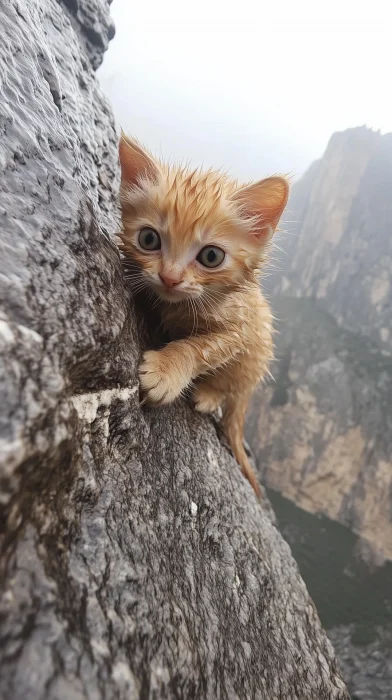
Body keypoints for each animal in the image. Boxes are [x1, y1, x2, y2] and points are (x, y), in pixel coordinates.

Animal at [118, 135, 288, 498]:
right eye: (149, 239)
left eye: (211, 256)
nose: (169, 277)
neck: (185, 304)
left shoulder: (240, 331)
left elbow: (200, 348)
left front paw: (167, 371)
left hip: (255, 355)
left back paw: (210, 395)